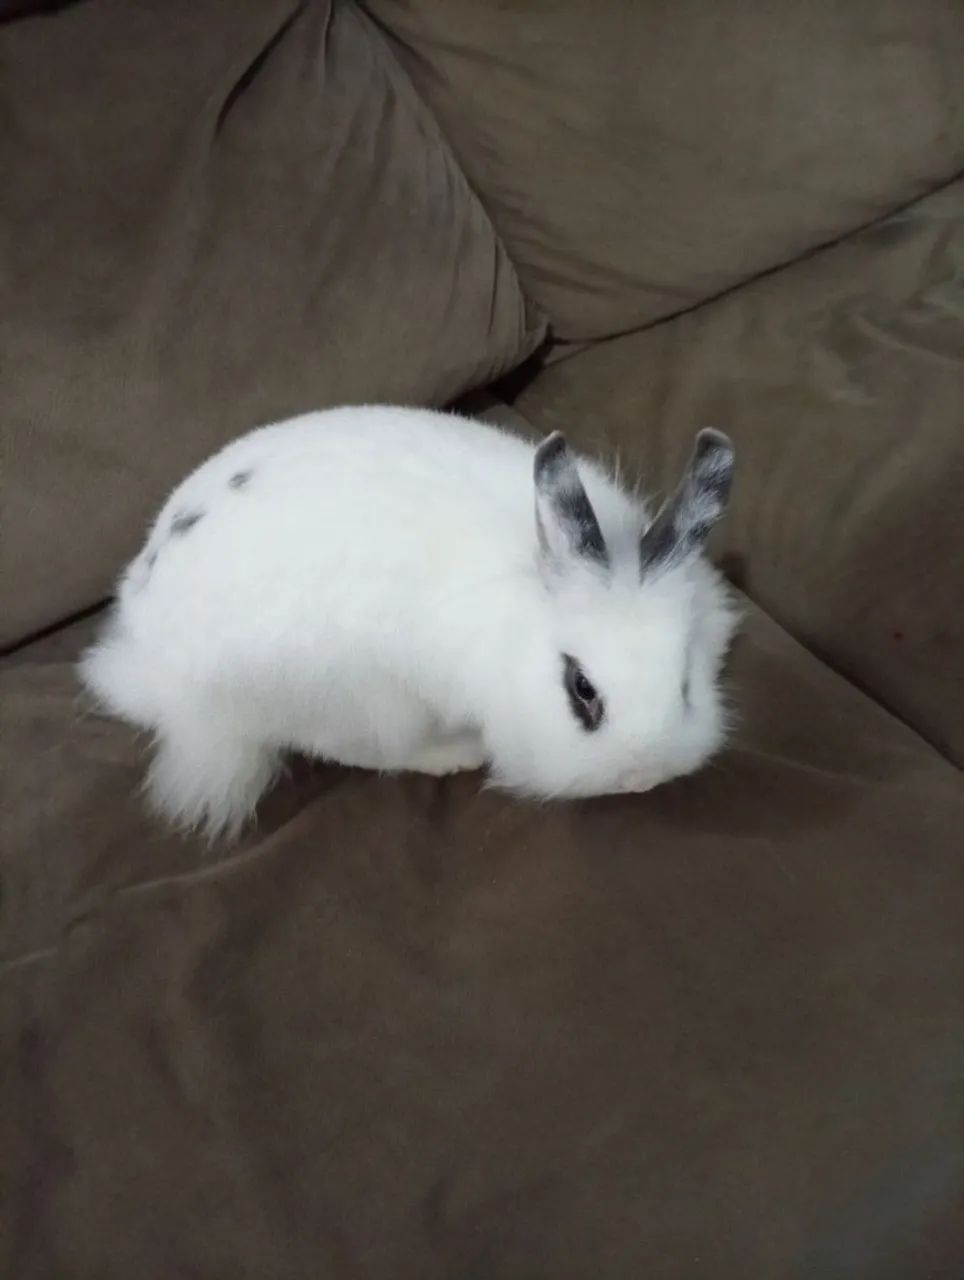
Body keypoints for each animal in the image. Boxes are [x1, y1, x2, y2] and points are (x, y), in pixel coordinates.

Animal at [80, 405, 738, 840]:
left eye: (685, 684)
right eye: (581, 689)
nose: (641, 778)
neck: (522, 606)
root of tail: (150, 667)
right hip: (363, 700)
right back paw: (454, 754)